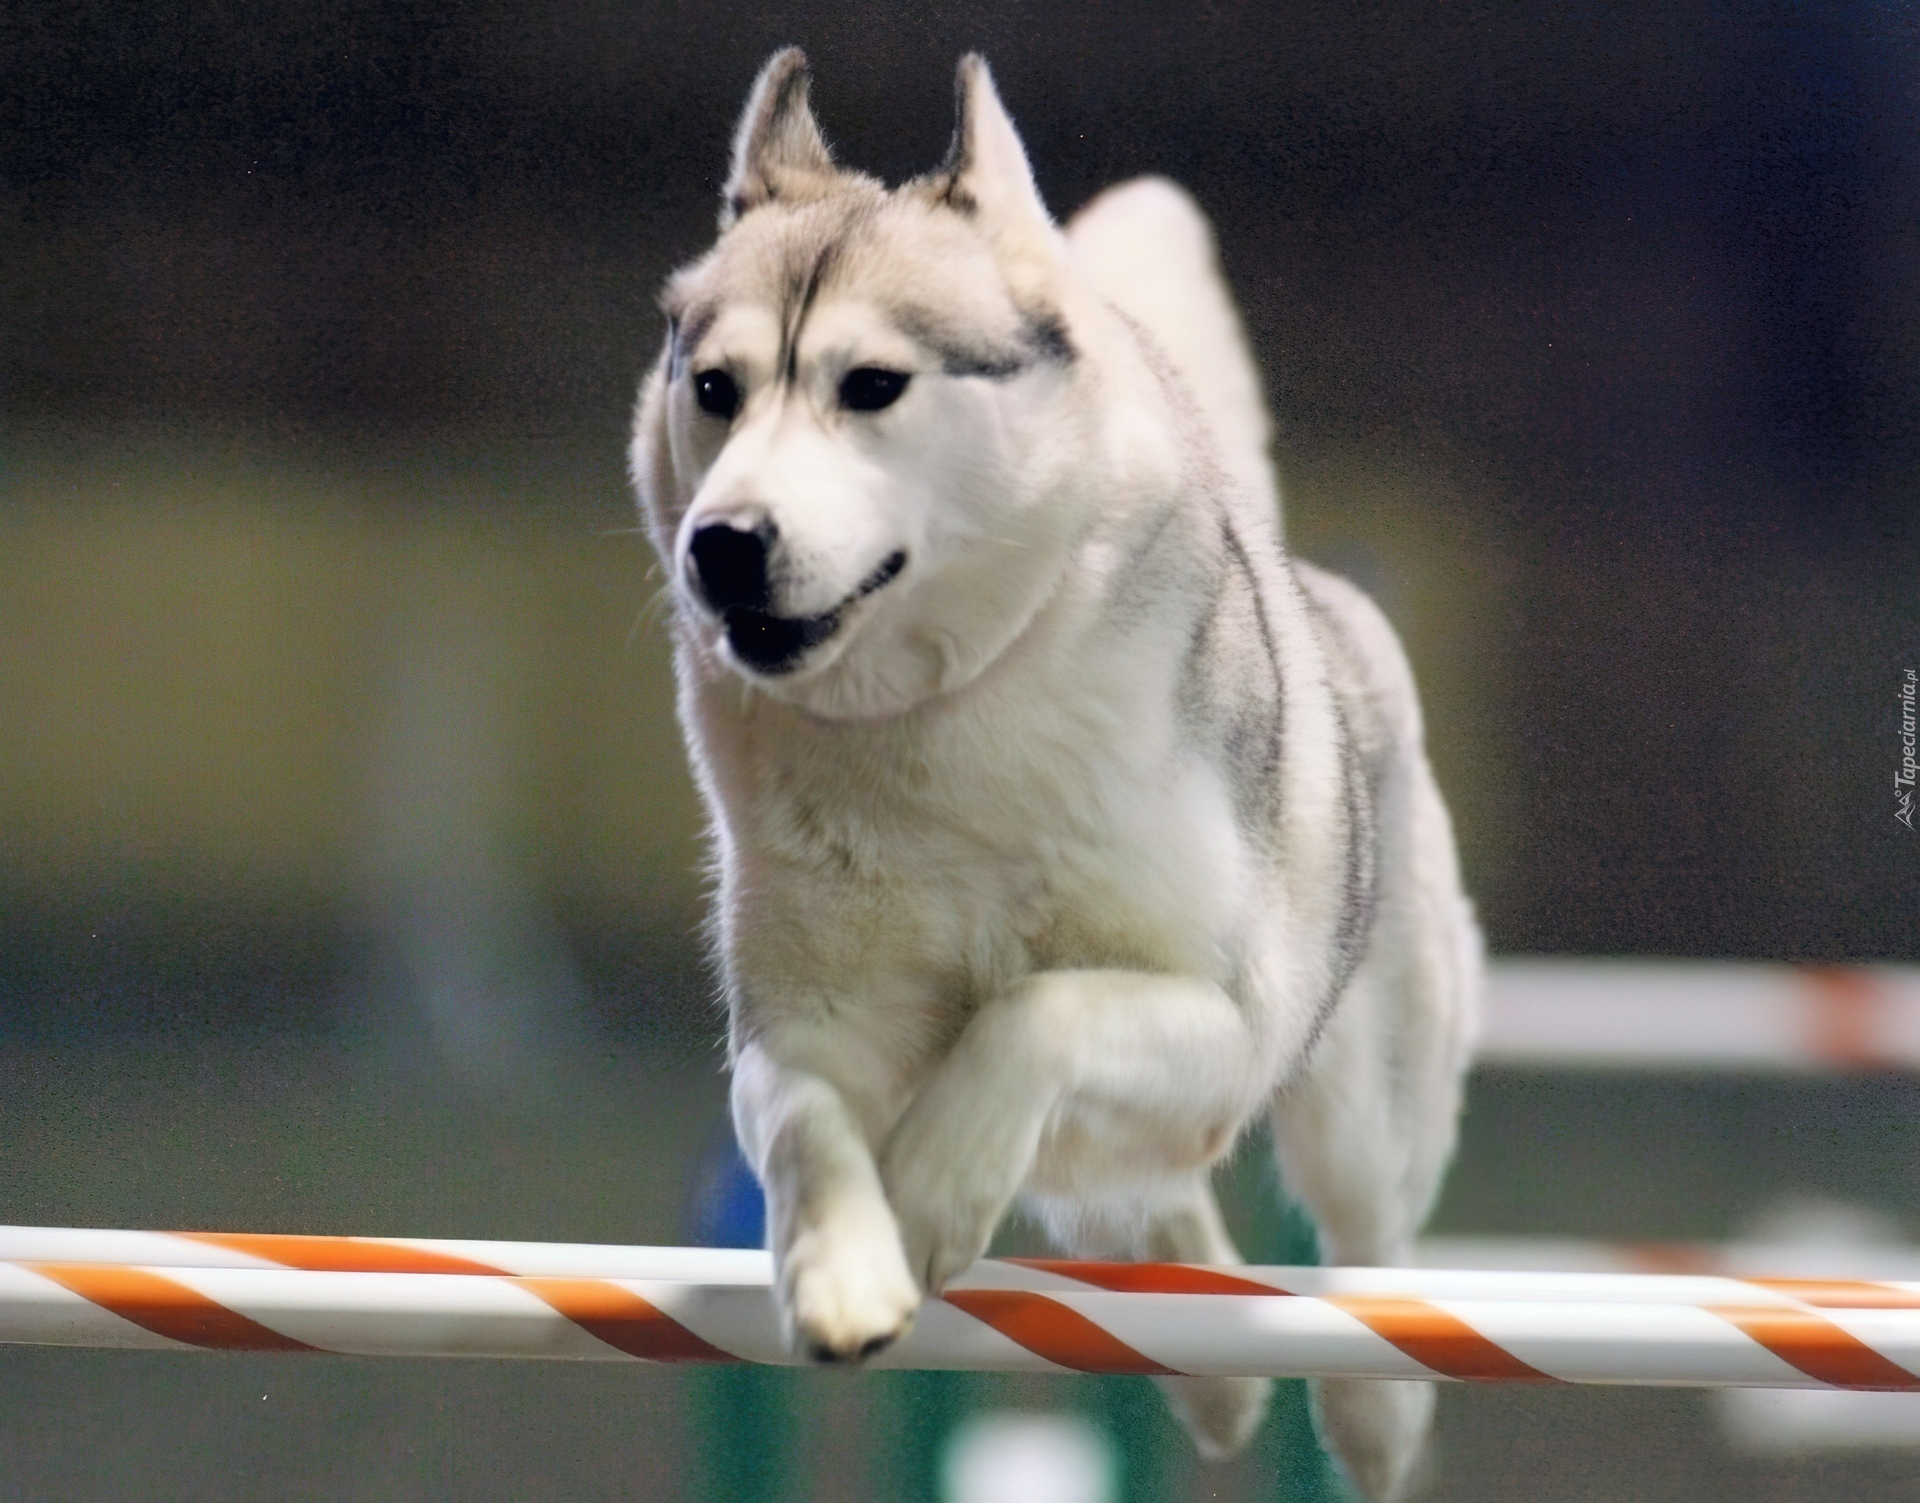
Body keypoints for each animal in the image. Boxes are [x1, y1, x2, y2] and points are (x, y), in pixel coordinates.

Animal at [637, 49, 1474, 1503]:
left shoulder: (1227, 1022)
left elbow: (1034, 1013)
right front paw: (847, 1267)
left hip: (1361, 1097)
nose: (723, 544)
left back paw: (1375, 1416)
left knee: (1366, 1246)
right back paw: (1219, 1361)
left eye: (871, 385)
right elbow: (802, 1122)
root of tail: (1304, 583)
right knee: (1149, 1199)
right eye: (717, 388)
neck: (934, 723)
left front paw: (927, 1192)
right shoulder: (801, 1024)